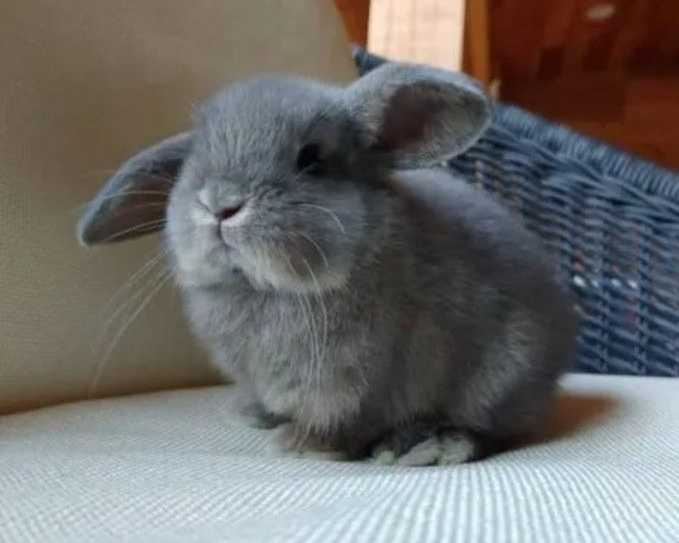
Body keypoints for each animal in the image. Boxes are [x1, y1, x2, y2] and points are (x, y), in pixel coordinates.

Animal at [77, 61, 579, 465]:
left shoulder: (353, 386)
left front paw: (300, 445)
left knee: (493, 430)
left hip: (499, 379)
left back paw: (428, 447)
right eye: (192, 161)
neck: (266, 288)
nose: (220, 204)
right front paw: (257, 416)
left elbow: (344, 424)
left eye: (312, 159)